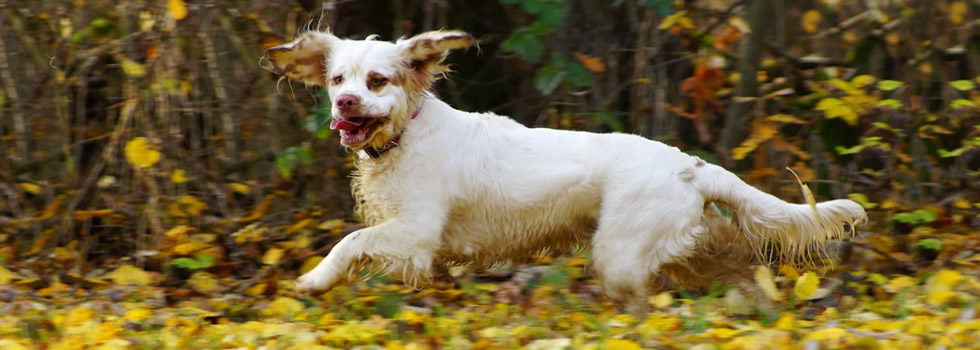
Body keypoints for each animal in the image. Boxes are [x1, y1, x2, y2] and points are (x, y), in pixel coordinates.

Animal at [266, 29, 864, 314]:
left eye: (377, 81)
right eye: (336, 78)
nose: (343, 104)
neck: (406, 134)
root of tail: (689, 164)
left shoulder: (416, 230)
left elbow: (349, 241)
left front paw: (314, 280)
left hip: (621, 255)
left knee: (644, 307)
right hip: (689, 247)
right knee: (746, 278)